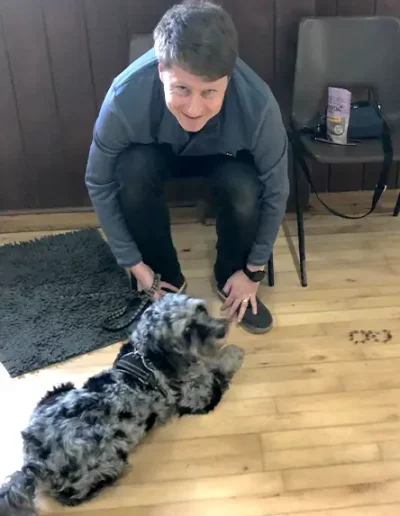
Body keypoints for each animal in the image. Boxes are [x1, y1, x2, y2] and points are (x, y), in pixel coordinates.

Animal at [0, 294, 244, 516]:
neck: (149, 358)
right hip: (108, 465)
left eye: (200, 309)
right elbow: (217, 368)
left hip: (58, 390)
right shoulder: (199, 397)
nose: (222, 329)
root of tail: (33, 464)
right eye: (186, 331)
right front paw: (233, 353)